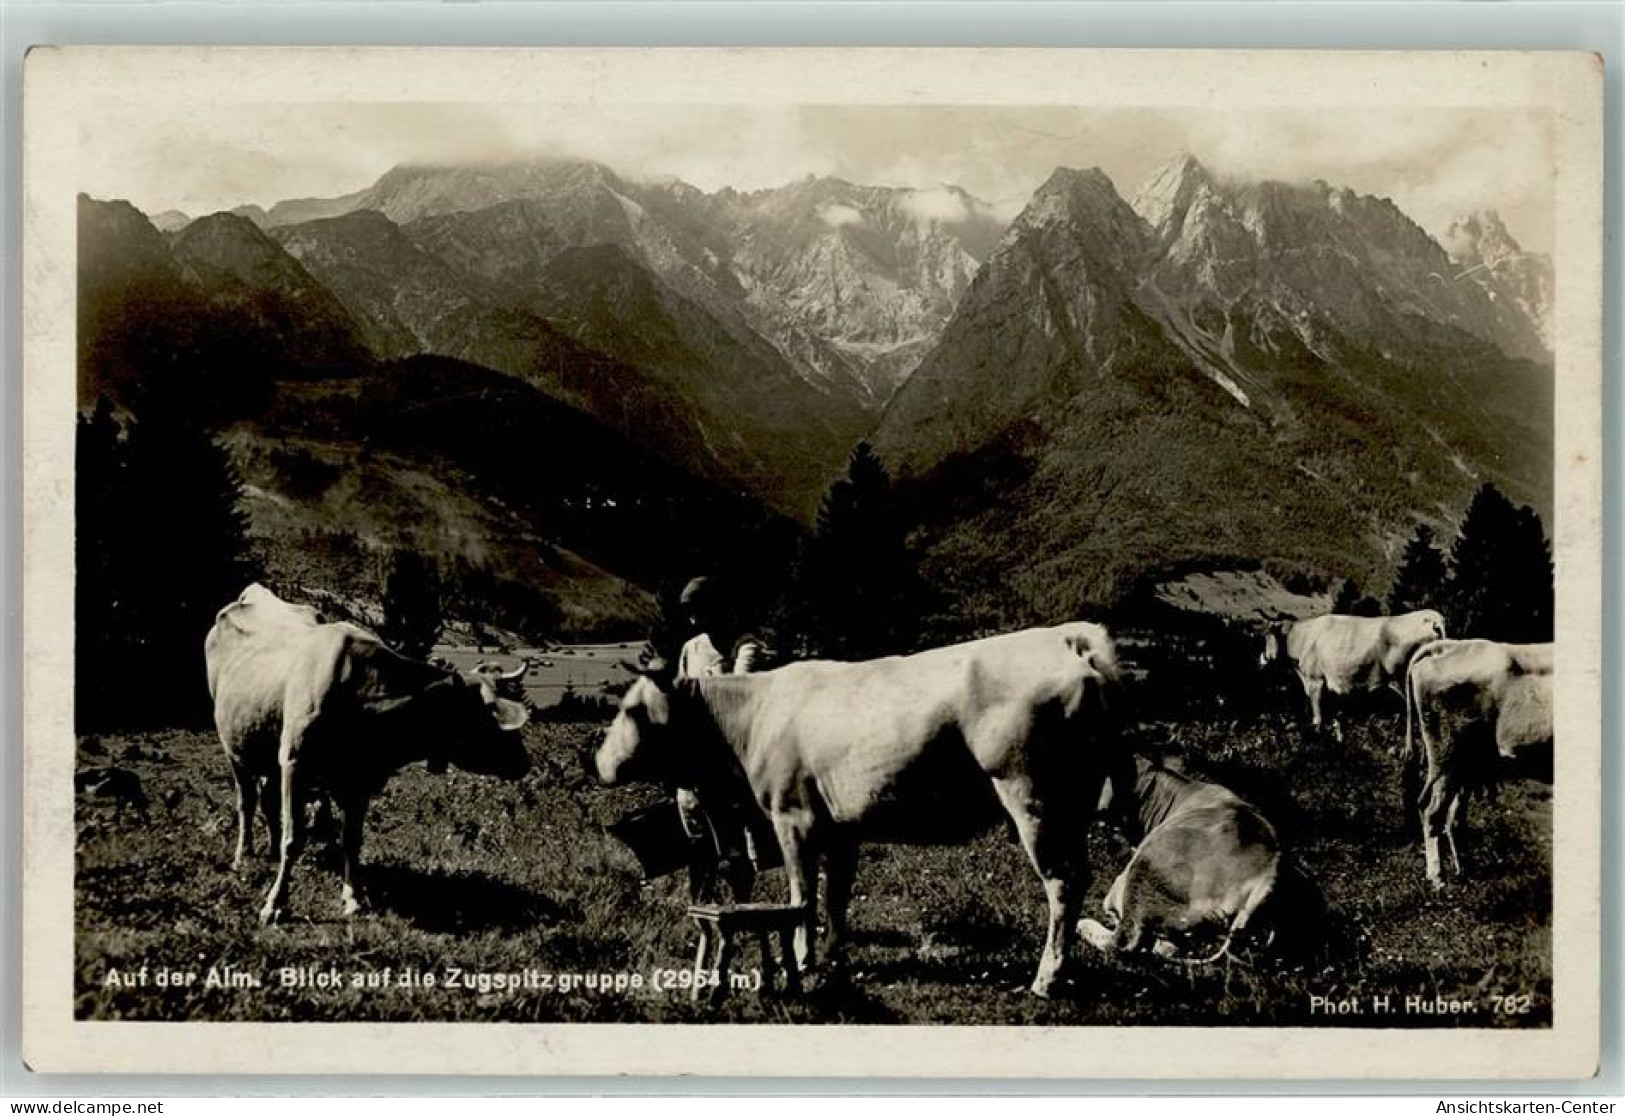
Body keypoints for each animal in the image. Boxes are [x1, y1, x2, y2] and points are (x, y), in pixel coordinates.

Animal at [206, 584, 529, 922]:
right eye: (489, 719)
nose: (524, 762)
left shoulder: (360, 777)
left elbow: (351, 840)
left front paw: (353, 898)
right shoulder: (296, 762)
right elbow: (293, 838)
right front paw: (275, 904)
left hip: (267, 747)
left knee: (267, 800)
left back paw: (268, 851)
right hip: (234, 748)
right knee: (247, 801)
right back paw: (243, 856)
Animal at [598, 623, 1131, 1000]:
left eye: (633, 711)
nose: (597, 762)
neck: (751, 718)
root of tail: (1068, 637)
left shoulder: (793, 817)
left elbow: (802, 895)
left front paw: (803, 958)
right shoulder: (841, 826)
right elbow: (836, 896)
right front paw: (834, 956)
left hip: (1033, 798)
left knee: (1061, 882)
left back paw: (1047, 979)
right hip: (1074, 804)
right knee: (1079, 878)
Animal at [1254, 607, 1449, 737]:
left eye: (1266, 634)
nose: (1261, 661)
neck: (1302, 637)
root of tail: (1433, 618)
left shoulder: (1315, 681)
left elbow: (1318, 718)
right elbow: (1336, 722)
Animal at [1404, 636, 1553, 890]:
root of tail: (1449, 645)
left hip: (1465, 767)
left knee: (1453, 819)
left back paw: (1465, 873)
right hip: (1447, 758)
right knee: (1432, 811)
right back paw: (1438, 878)